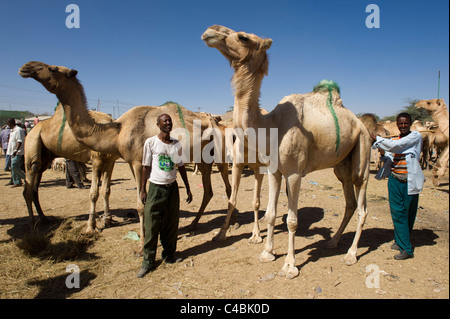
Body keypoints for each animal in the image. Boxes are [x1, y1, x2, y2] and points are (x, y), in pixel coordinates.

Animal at [23, 104, 118, 234]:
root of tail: (31, 131)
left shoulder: (110, 161)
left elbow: (106, 190)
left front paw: (108, 219)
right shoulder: (96, 160)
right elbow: (94, 193)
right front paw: (91, 226)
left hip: (44, 159)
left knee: (34, 189)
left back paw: (44, 219)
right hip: (32, 145)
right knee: (28, 187)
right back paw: (33, 225)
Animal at [202, 25, 370, 280]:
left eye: (243, 37)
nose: (211, 31)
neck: (270, 126)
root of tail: (361, 124)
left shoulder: (294, 173)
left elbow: (291, 220)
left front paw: (290, 265)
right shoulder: (274, 171)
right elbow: (271, 213)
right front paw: (267, 253)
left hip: (363, 152)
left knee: (362, 205)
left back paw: (351, 254)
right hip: (342, 166)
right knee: (349, 202)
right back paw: (332, 242)